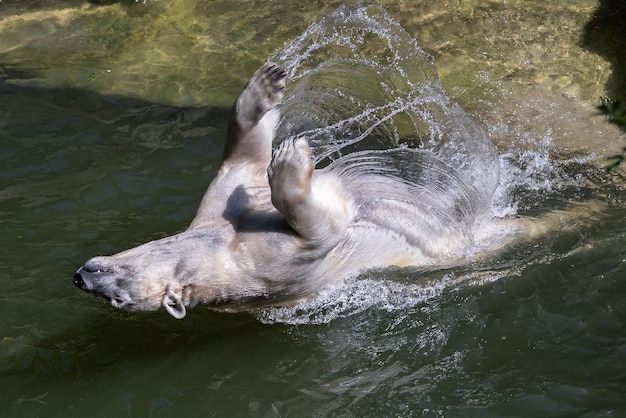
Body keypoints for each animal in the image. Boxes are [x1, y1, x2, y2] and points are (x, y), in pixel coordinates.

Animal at [73, 62, 584, 318]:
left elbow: (242, 161)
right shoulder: (271, 267)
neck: (216, 251)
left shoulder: (218, 207)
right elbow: (321, 231)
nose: (80, 276)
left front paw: (265, 87)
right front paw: (292, 159)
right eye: (119, 300)